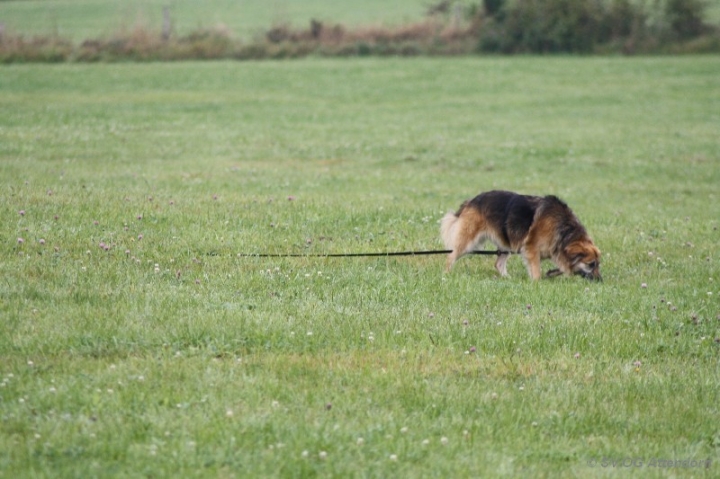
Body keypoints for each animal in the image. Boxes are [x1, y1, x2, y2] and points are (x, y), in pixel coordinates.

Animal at [438, 190, 600, 282]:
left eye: (598, 264)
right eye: (591, 264)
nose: (601, 280)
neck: (565, 230)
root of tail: (471, 201)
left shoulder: (556, 249)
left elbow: (564, 264)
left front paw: (553, 272)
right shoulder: (531, 248)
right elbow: (537, 270)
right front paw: (537, 282)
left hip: (506, 242)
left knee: (498, 264)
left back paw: (507, 278)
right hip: (468, 241)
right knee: (450, 256)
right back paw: (446, 274)